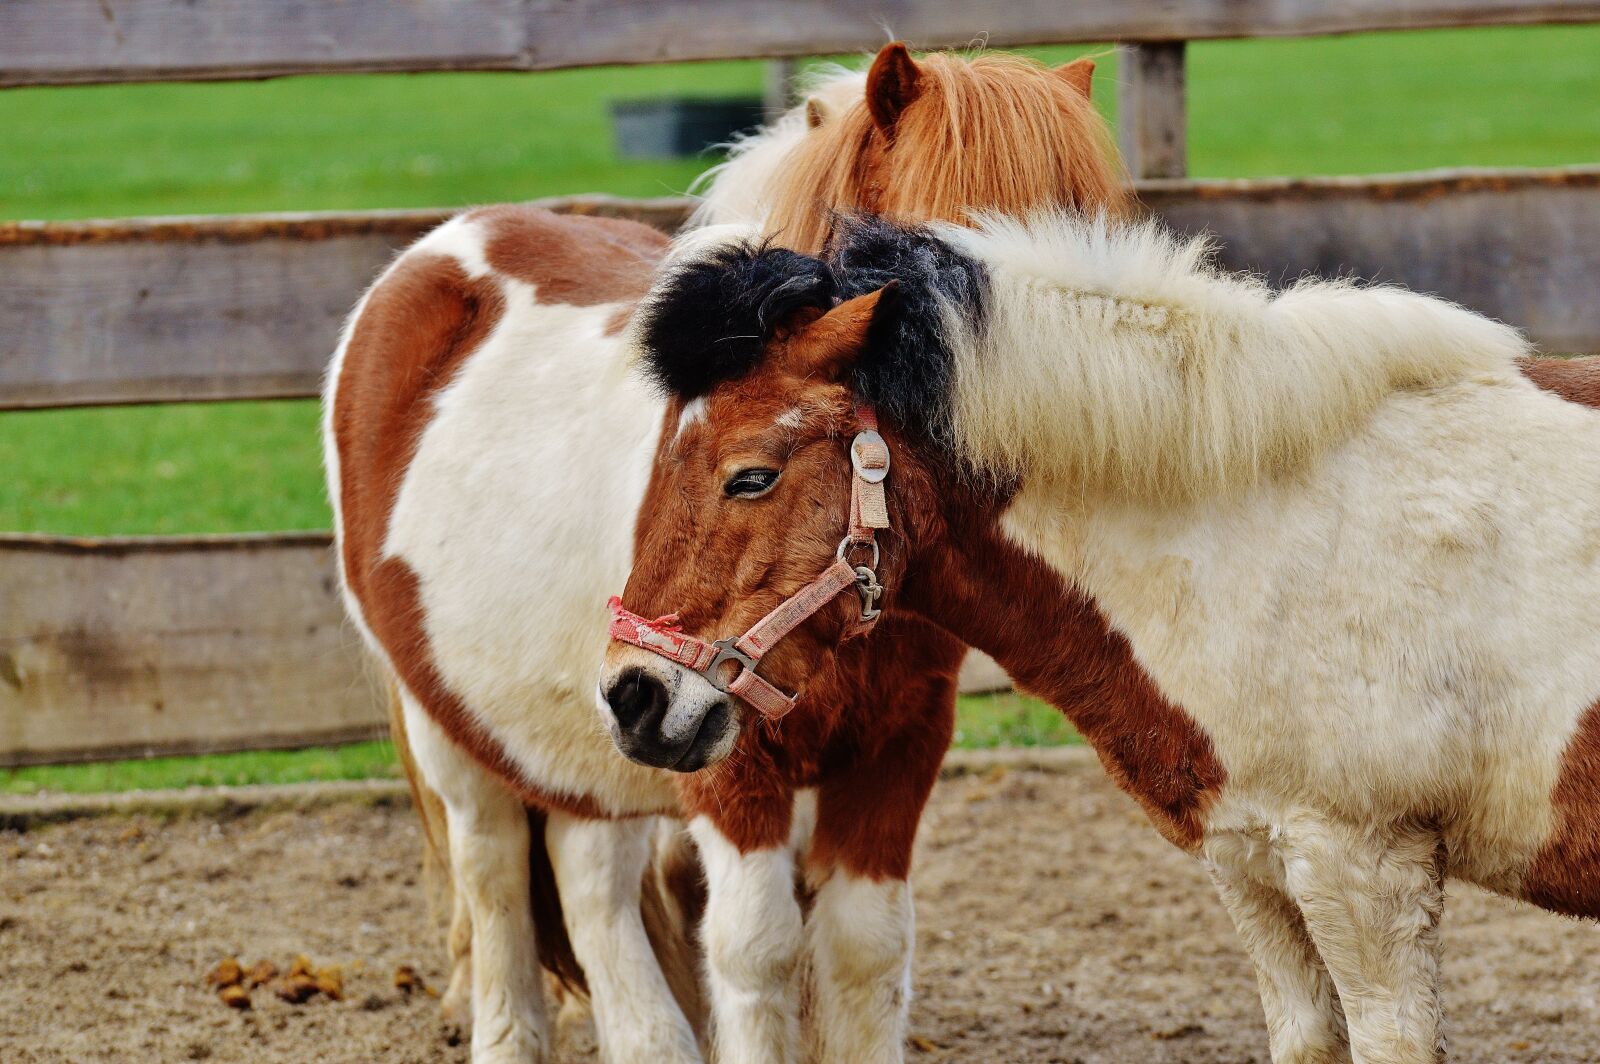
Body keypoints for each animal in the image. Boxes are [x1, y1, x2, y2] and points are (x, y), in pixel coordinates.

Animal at [327, 44, 1125, 1063]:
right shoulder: (725, 761)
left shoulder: (899, 746)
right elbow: (755, 953)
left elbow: (867, 949)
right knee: (497, 871)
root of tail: (441, 251)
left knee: (589, 871)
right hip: (463, 728)